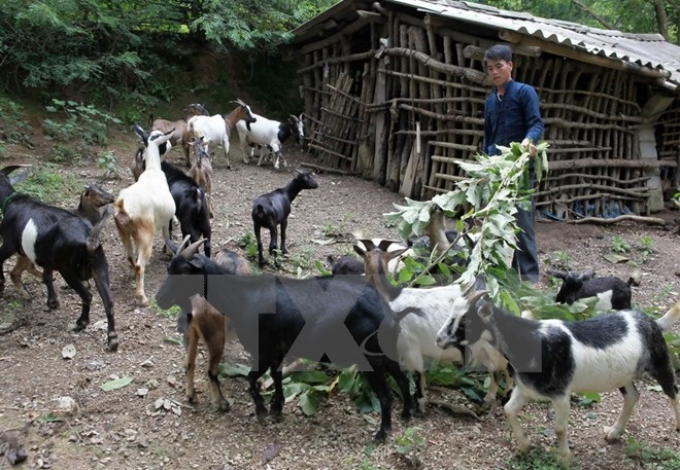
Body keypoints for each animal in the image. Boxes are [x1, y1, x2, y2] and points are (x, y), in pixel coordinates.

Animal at [0, 165, 117, 348]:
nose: (111, 198)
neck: (11, 201)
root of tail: (89, 240)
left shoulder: (8, 244)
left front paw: (1, 284)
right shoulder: (46, 256)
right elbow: (47, 275)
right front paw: (52, 301)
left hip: (68, 270)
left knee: (87, 295)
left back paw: (81, 322)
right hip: (100, 267)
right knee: (108, 302)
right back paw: (112, 338)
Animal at [115, 125, 177, 306]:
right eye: (162, 139)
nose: (170, 144)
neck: (152, 171)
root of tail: (124, 206)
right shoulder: (166, 219)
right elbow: (167, 236)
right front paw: (169, 253)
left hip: (124, 231)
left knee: (130, 257)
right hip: (146, 233)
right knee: (139, 264)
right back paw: (142, 297)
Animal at [356, 241, 510, 414]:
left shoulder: (410, 346)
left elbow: (418, 373)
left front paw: (420, 405)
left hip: (492, 347)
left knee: (501, 369)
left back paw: (494, 401)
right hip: (481, 349)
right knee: (498, 368)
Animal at [436, 288, 680, 460]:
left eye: (466, 320)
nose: (439, 339)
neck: (530, 340)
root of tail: (652, 322)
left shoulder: (561, 393)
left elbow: (560, 428)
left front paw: (564, 458)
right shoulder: (524, 389)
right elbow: (508, 410)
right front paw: (524, 446)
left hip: (659, 360)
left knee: (673, 391)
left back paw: (677, 427)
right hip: (624, 376)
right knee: (632, 396)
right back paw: (614, 432)